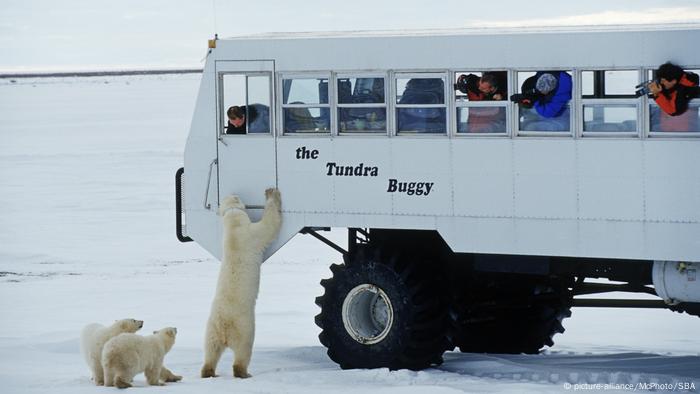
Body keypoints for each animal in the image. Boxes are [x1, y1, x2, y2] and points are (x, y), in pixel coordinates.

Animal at [200, 188, 282, 378]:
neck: (233, 226)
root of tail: (224, 328)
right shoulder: (251, 235)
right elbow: (269, 226)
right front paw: (271, 193)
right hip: (244, 327)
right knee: (243, 349)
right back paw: (243, 372)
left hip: (211, 329)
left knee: (211, 350)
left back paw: (208, 371)